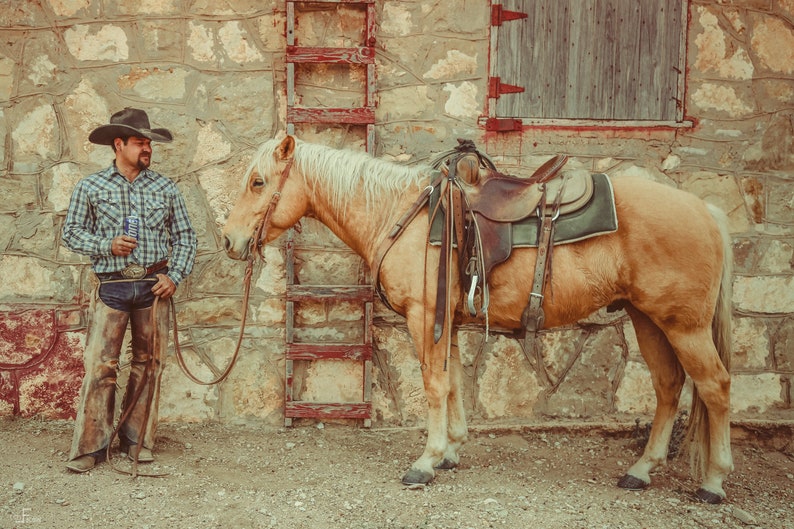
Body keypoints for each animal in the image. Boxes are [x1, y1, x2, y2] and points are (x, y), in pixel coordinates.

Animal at [220, 133, 732, 504]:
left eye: (259, 182)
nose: (229, 240)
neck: (401, 214)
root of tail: (705, 209)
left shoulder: (425, 315)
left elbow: (433, 384)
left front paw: (425, 462)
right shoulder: (444, 318)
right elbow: (452, 383)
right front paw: (451, 451)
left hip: (683, 326)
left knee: (715, 387)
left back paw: (712, 482)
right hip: (649, 319)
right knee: (669, 387)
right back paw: (640, 471)